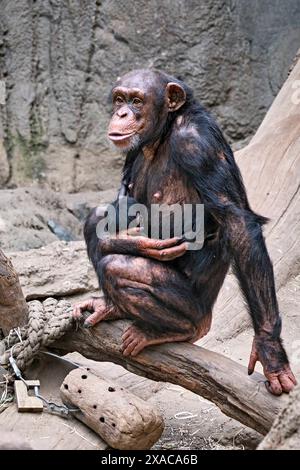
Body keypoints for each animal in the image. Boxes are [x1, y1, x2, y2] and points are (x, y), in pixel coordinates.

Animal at [73, 68, 296, 394]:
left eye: (137, 101)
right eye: (119, 99)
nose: (122, 112)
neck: (163, 134)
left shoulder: (197, 144)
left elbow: (237, 221)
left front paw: (270, 351)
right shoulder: (132, 153)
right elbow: (115, 207)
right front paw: (130, 240)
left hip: (195, 306)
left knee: (118, 268)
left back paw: (175, 330)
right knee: (96, 223)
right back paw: (112, 306)